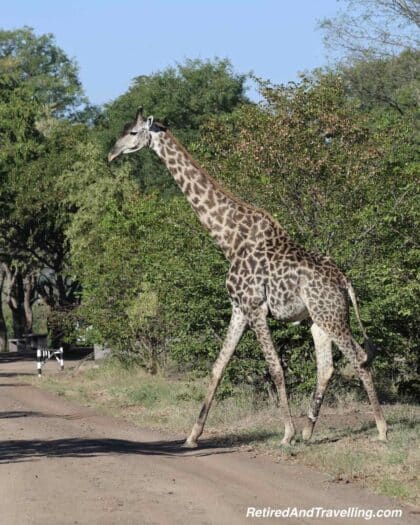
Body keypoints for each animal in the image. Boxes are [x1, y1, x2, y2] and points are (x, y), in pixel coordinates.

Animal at [108, 109, 388, 446]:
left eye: (133, 132)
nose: (111, 154)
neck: (229, 239)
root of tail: (345, 283)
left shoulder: (255, 308)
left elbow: (275, 367)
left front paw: (286, 434)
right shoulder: (238, 308)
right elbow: (218, 365)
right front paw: (192, 436)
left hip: (331, 316)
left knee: (358, 357)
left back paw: (381, 430)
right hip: (318, 319)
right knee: (327, 366)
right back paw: (309, 431)